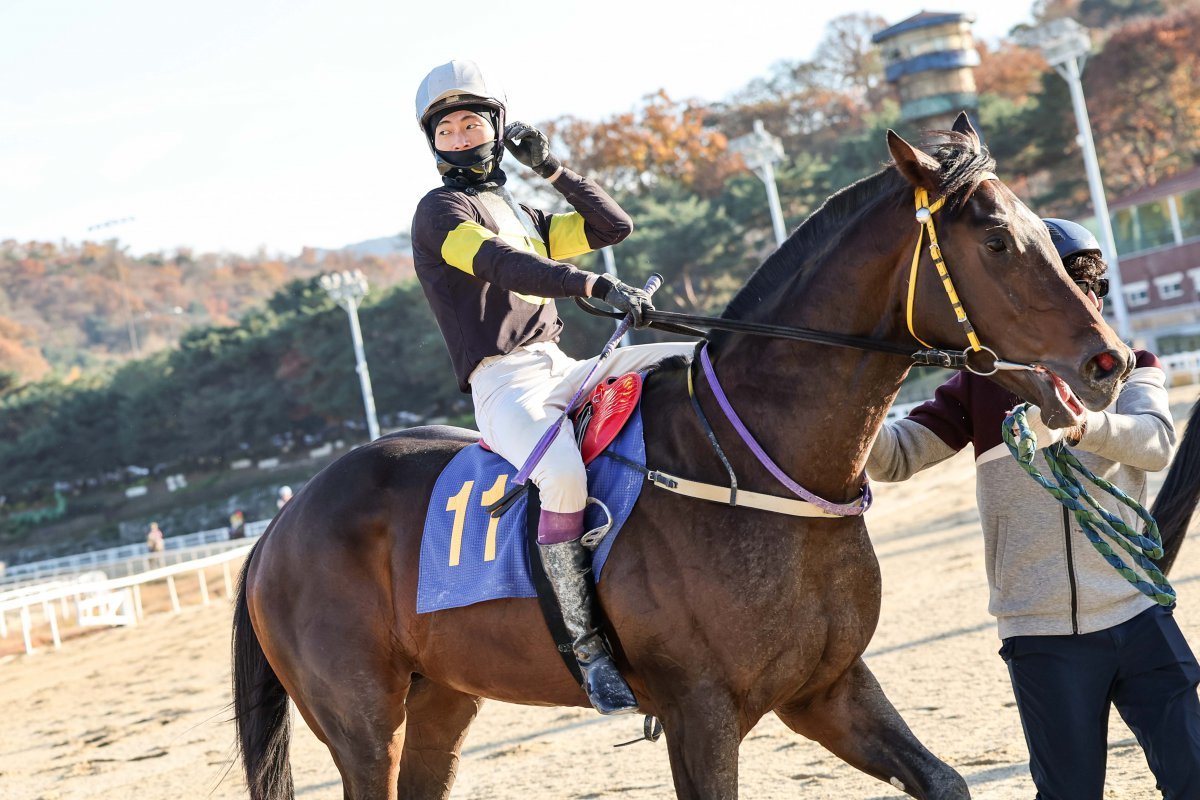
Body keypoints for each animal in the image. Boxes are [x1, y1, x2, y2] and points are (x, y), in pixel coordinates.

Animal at [236, 113, 1142, 800]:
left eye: (1038, 228)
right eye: (995, 240)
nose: (1109, 361)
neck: (757, 462)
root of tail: (277, 527)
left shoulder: (828, 687)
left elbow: (944, 779)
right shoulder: (699, 714)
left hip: (441, 702)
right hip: (363, 723)